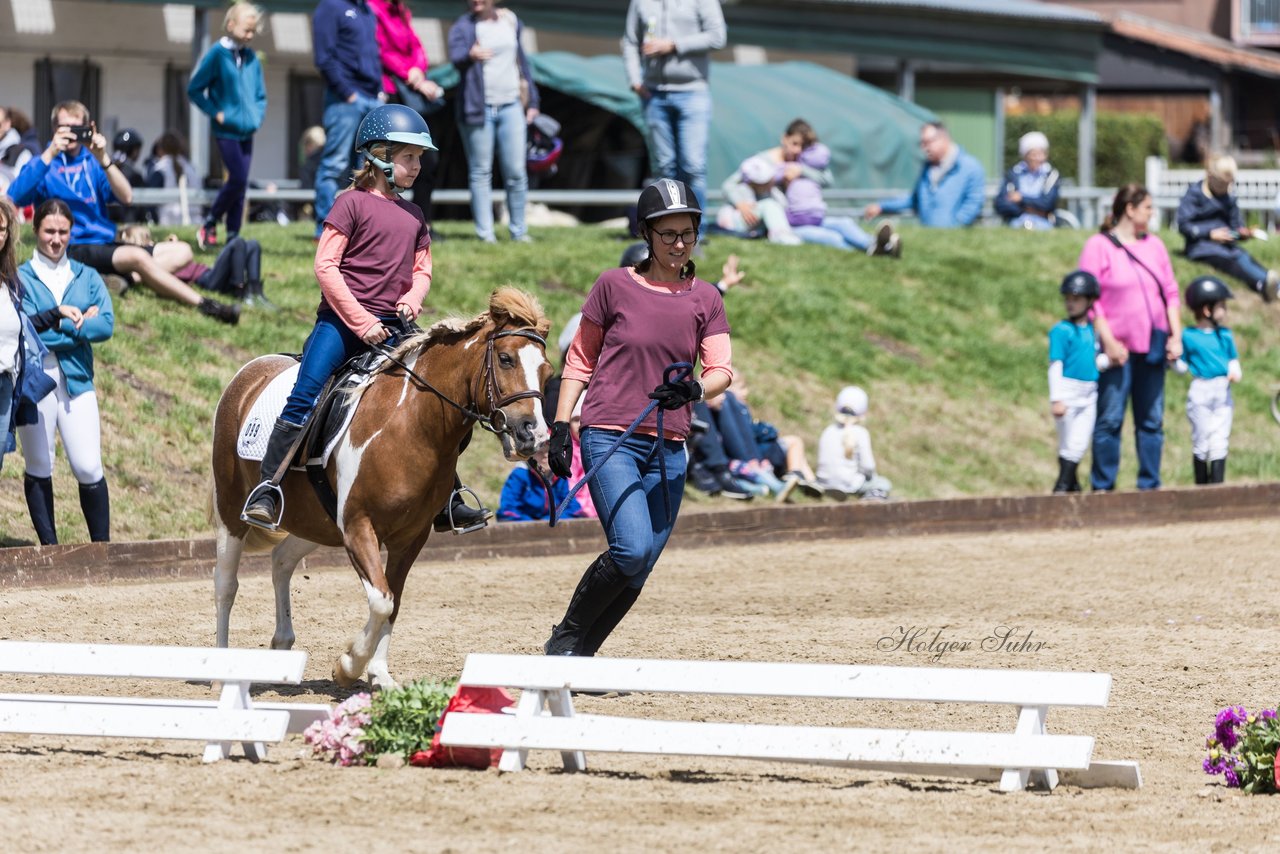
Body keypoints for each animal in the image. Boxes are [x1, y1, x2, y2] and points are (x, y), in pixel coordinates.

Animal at [209, 286, 550, 686]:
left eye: (547, 370)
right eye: (506, 359)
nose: (534, 436)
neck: (410, 425)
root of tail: (250, 371)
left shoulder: (410, 537)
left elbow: (394, 601)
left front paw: (379, 675)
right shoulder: (359, 527)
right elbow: (381, 600)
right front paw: (348, 665)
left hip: (317, 522)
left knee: (281, 560)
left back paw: (282, 644)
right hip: (232, 509)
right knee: (226, 584)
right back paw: (220, 668)